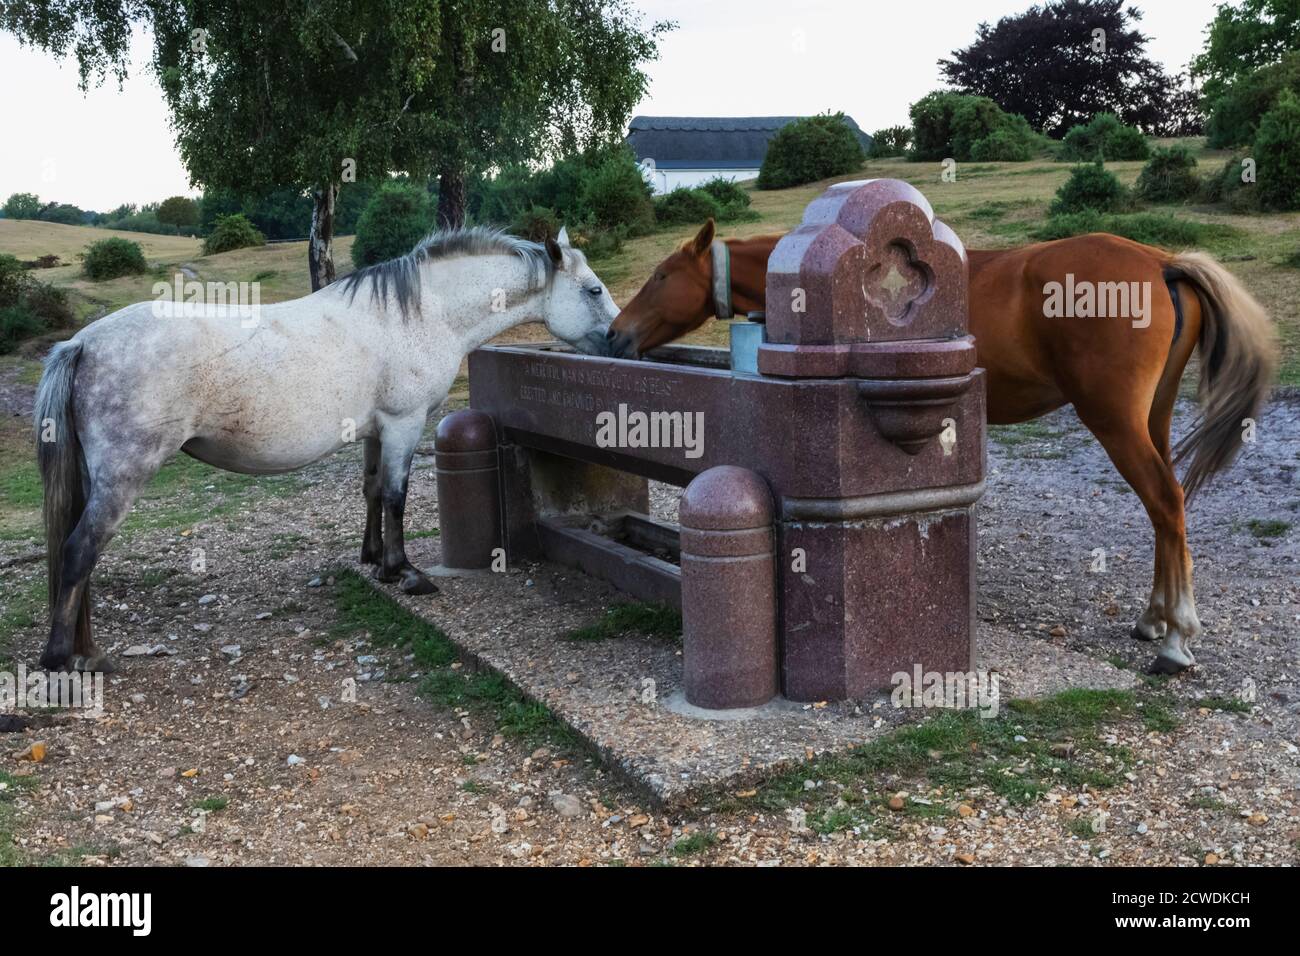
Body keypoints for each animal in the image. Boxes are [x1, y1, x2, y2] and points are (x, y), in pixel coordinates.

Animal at [31, 228, 618, 671]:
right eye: (593, 290)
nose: (622, 341)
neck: (421, 313)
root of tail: (82, 343)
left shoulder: (377, 431)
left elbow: (373, 491)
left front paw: (375, 560)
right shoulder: (404, 425)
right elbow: (397, 496)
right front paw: (406, 572)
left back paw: (82, 648)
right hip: (122, 477)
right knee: (79, 550)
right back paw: (65, 658)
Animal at [608, 221, 1279, 676]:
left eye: (662, 276)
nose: (615, 335)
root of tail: (1161, 262)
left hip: (1115, 422)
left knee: (1165, 502)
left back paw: (1176, 638)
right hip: (1150, 421)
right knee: (1168, 508)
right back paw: (1154, 619)